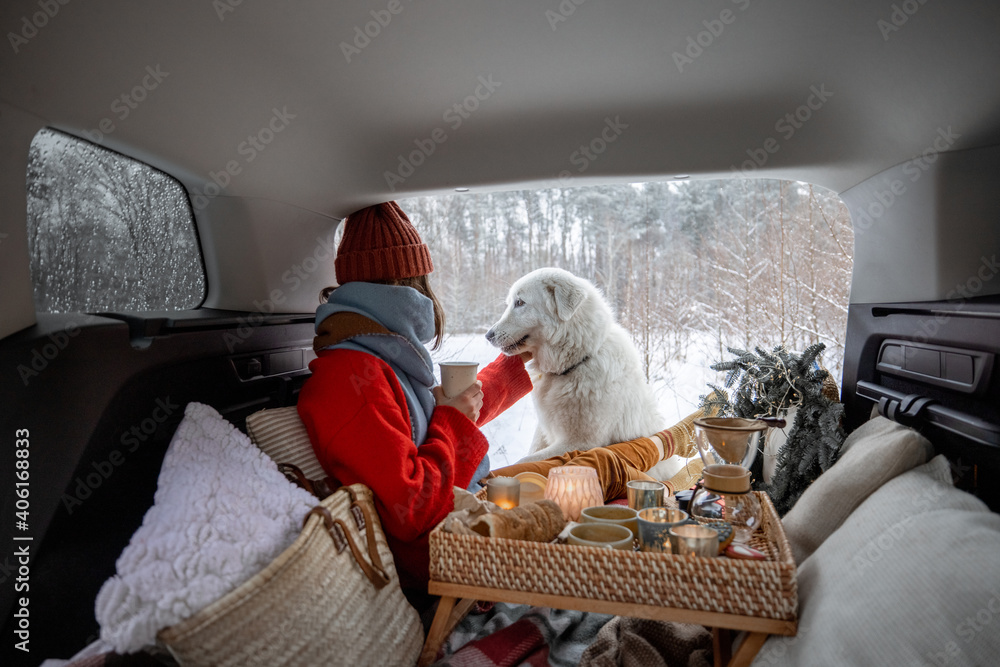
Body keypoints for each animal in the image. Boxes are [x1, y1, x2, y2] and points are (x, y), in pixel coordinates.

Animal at [486, 268, 680, 480]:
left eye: (520, 303)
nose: (488, 335)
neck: (576, 362)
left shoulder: (578, 443)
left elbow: (525, 461)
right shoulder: (545, 430)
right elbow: (530, 452)